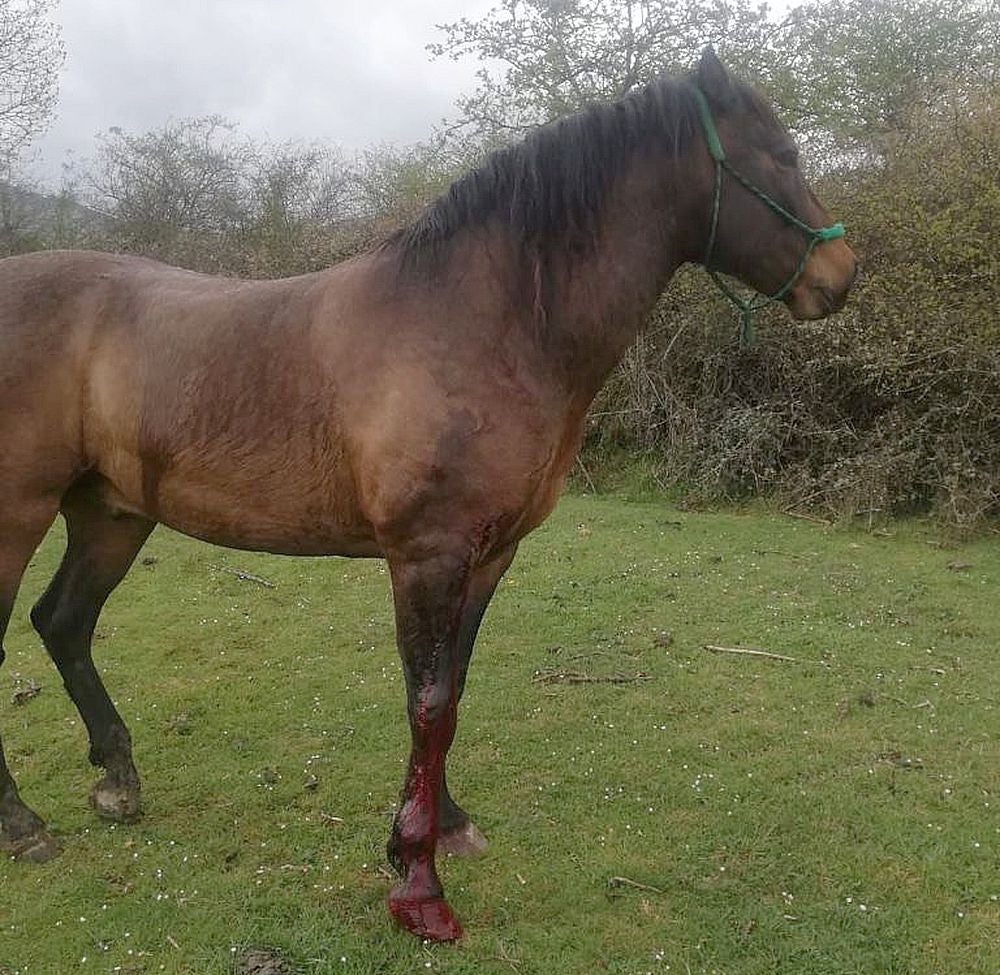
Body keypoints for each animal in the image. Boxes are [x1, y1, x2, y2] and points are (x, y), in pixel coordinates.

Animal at [1, 49, 860, 940]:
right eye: (784, 156)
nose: (842, 275)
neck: (476, 323)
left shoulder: (487, 557)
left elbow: (452, 694)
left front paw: (444, 824)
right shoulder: (426, 556)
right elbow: (428, 701)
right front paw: (418, 886)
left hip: (111, 513)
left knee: (63, 622)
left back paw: (117, 779)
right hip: (19, 514)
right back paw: (24, 826)